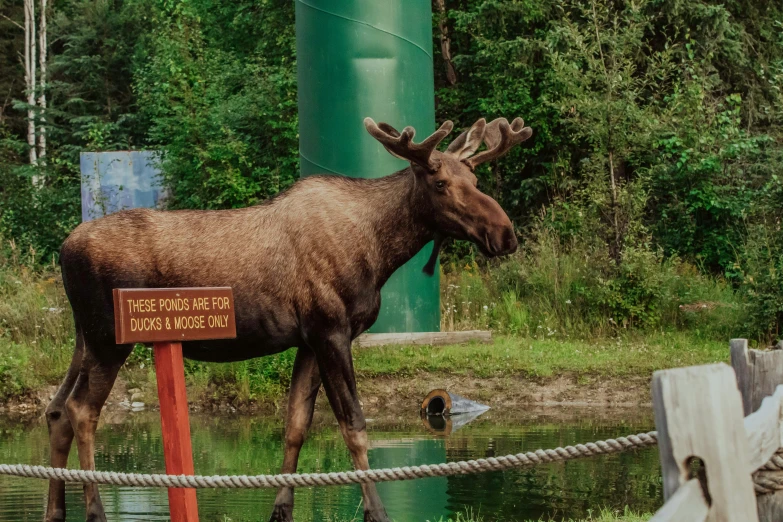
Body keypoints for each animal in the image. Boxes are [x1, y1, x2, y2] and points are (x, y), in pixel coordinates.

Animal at [44, 116, 532, 516]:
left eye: (474, 176)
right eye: (440, 183)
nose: (505, 233)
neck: (380, 250)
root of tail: (64, 250)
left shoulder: (308, 339)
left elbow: (295, 425)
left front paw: (281, 510)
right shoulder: (331, 330)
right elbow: (354, 425)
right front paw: (376, 511)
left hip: (83, 338)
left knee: (55, 410)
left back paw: (55, 510)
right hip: (109, 339)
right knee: (81, 410)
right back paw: (94, 511)